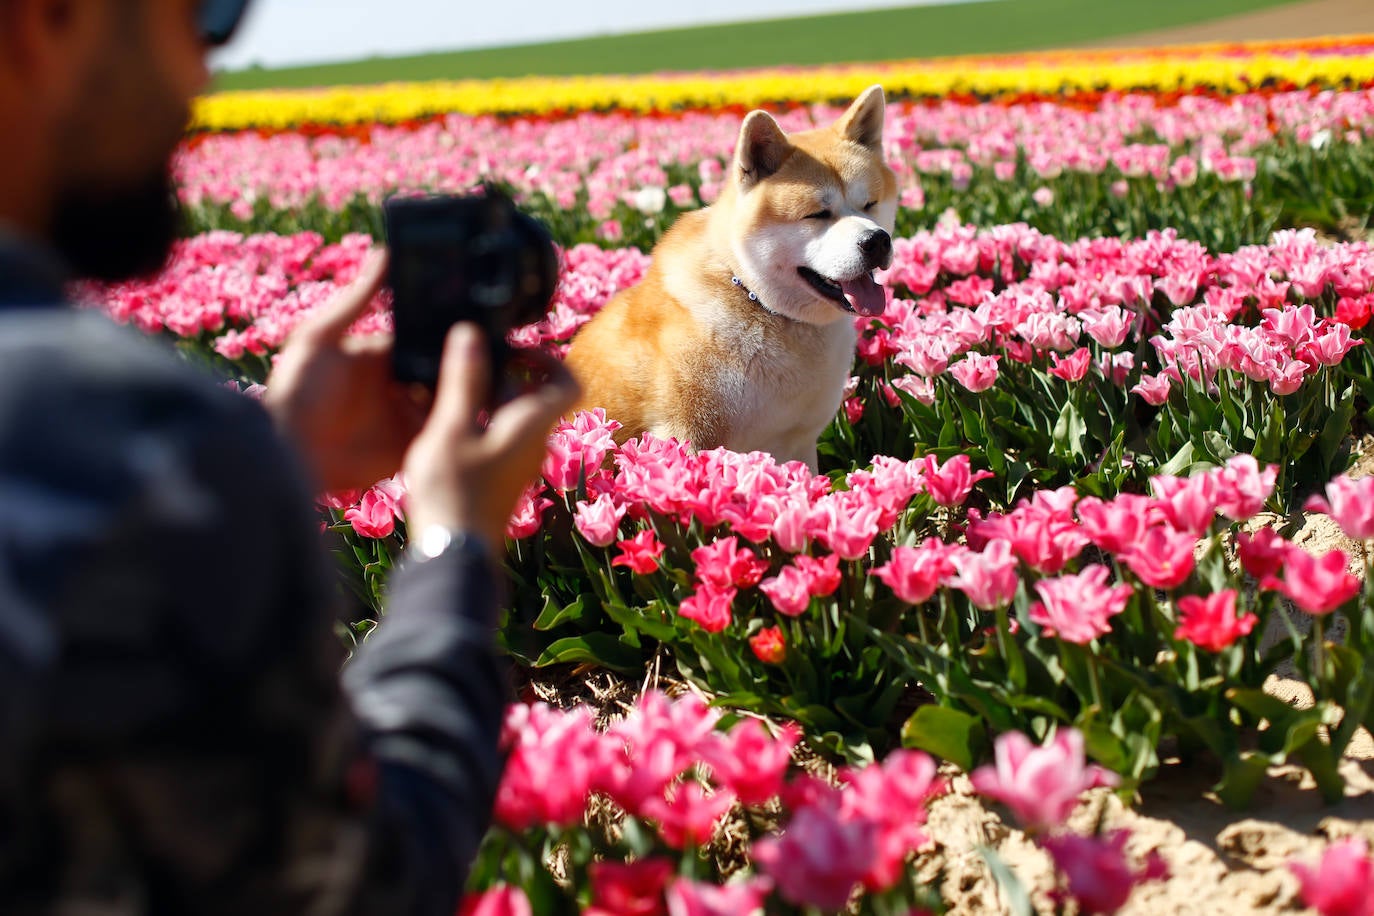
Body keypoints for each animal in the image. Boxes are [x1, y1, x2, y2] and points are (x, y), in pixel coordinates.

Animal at [563, 85, 895, 469]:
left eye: (870, 204)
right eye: (817, 214)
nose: (877, 241)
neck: (756, 302)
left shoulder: (799, 443)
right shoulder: (686, 434)